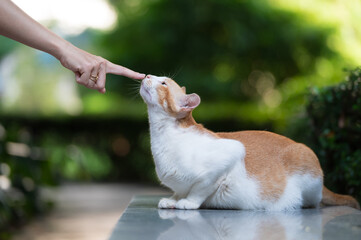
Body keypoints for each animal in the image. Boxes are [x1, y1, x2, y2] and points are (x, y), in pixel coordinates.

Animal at [139, 74, 358, 210]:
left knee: (315, 202)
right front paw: (173, 200)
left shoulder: (229, 155)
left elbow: (199, 189)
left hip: (304, 157)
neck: (162, 137)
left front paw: (188, 202)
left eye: (163, 83)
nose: (146, 75)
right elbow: (178, 191)